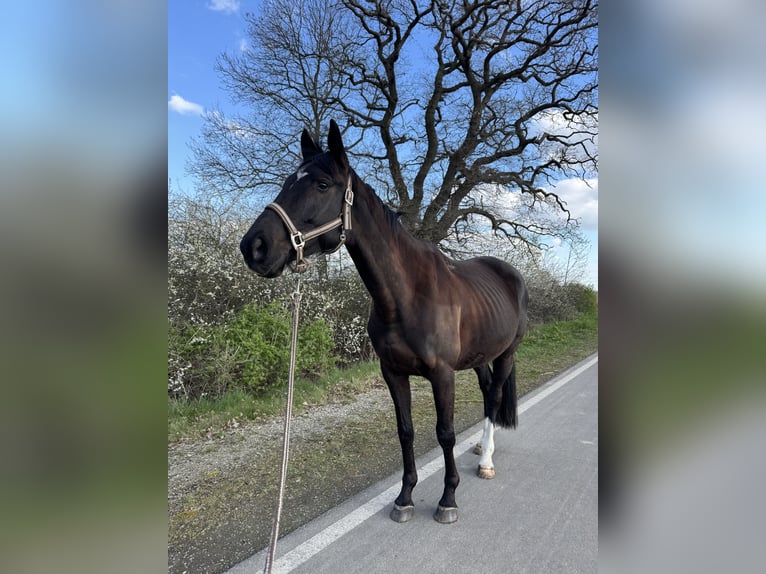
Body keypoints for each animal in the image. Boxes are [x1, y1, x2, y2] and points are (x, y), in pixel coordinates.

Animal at [240, 120, 528, 524]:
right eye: (286, 181)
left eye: (322, 184)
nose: (254, 247)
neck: (406, 297)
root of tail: (510, 274)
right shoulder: (392, 372)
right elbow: (405, 431)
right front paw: (405, 497)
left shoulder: (443, 375)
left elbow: (445, 432)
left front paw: (448, 499)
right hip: (478, 356)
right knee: (488, 392)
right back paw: (480, 450)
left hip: (506, 354)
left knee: (495, 397)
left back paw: (486, 460)